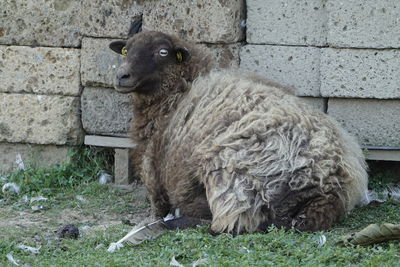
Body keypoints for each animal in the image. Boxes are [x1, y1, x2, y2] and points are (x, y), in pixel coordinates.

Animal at [108, 31, 368, 234]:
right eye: (126, 50)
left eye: (162, 52)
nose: (121, 76)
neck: (175, 96)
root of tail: (328, 178)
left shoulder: (153, 175)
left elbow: (158, 205)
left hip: (230, 174)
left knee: (226, 224)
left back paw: (174, 221)